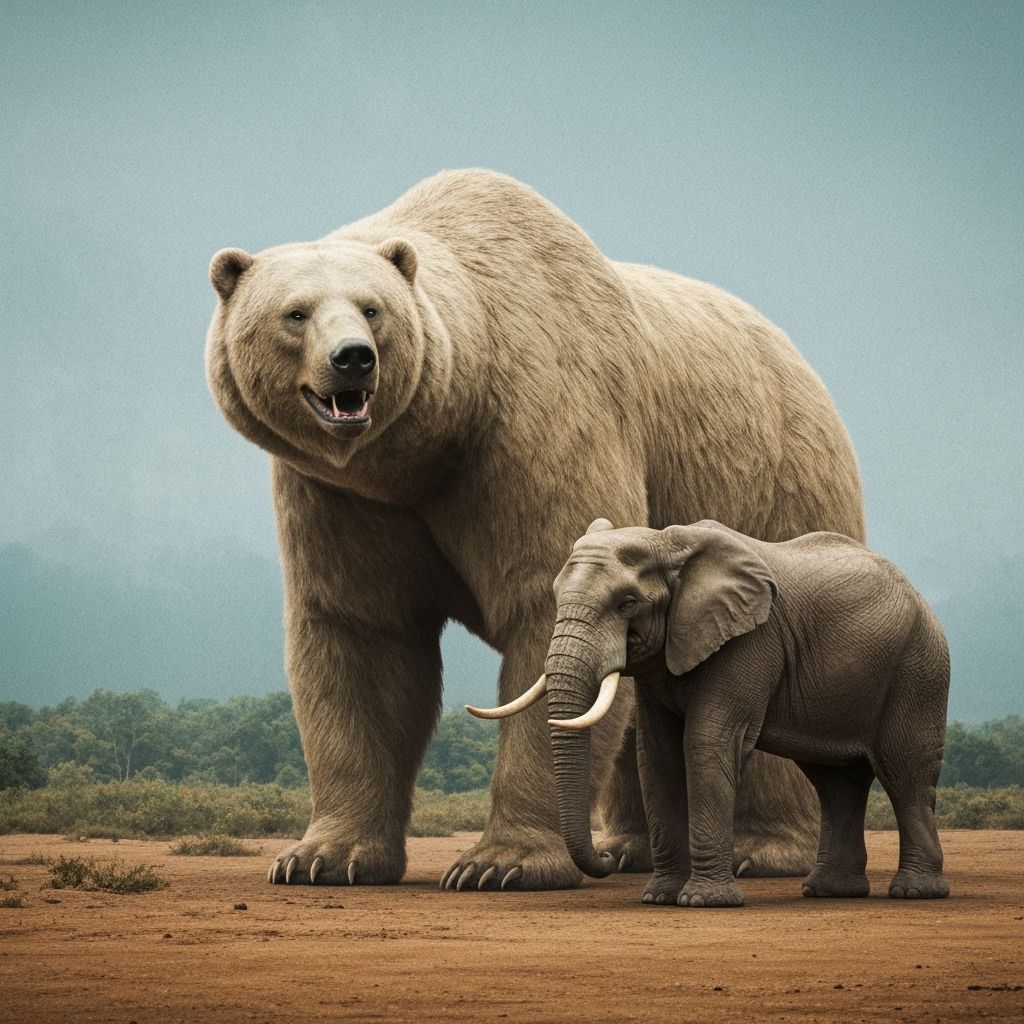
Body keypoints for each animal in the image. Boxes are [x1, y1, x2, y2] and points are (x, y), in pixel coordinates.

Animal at [205, 169, 864, 890]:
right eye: (295, 312)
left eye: (371, 308)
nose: (353, 359)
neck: (426, 447)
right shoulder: (344, 499)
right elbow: (363, 639)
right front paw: (322, 857)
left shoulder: (537, 431)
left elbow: (543, 616)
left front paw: (500, 864)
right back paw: (633, 848)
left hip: (779, 484)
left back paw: (760, 849)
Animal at [470, 518, 950, 906]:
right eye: (555, 595)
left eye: (627, 603)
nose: (608, 855)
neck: (668, 544)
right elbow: (657, 755)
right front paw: (659, 899)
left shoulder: (750, 641)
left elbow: (706, 743)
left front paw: (703, 901)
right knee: (836, 781)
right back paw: (829, 892)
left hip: (918, 667)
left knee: (905, 773)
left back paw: (914, 892)